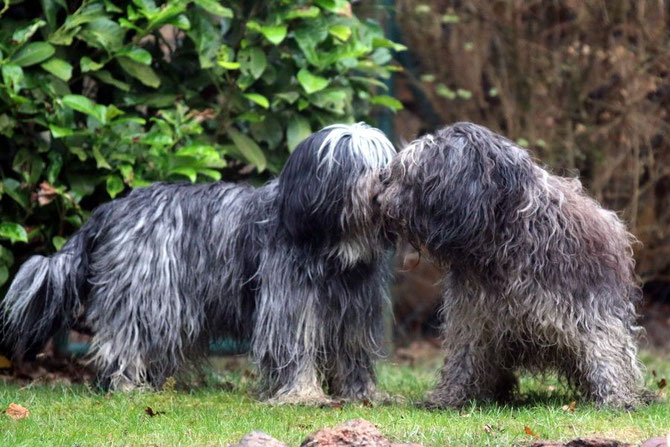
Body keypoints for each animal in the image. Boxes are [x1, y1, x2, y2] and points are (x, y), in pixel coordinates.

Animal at [1, 123, 400, 406]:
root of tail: (112, 207)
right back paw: (128, 385)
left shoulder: (354, 313)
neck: (332, 250)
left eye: (384, 160)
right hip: (144, 295)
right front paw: (304, 396)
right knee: (125, 340)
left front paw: (364, 395)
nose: (383, 180)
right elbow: (294, 350)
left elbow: (353, 355)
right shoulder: (289, 307)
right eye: (355, 163)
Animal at [378, 122, 652, 410]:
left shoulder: (587, 304)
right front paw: (450, 396)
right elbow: (464, 354)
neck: (501, 236)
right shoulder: (472, 316)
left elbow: (604, 347)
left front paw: (616, 397)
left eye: (412, 177)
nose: (382, 197)